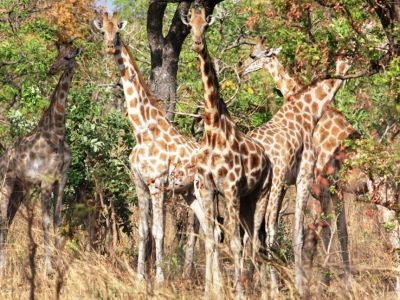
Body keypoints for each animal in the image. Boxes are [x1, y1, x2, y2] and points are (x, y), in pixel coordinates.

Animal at [0, 39, 80, 272]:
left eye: (69, 57)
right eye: (59, 55)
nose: (52, 69)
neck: (57, 131)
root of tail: (3, 157)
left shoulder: (61, 179)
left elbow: (57, 219)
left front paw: (58, 262)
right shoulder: (45, 181)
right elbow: (45, 221)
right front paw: (48, 267)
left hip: (20, 187)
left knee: (8, 217)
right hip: (7, 180)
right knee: (2, 216)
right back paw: (3, 263)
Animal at [93, 11, 206, 284]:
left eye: (118, 31)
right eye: (103, 31)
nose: (110, 46)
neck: (142, 131)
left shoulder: (157, 184)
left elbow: (159, 232)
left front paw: (160, 280)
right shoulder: (140, 184)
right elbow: (143, 231)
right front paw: (139, 278)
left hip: (206, 191)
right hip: (189, 192)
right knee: (208, 231)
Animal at [181, 5, 272, 294]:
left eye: (205, 25)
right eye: (190, 24)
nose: (197, 43)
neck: (212, 128)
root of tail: (268, 160)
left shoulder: (230, 188)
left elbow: (232, 243)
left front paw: (237, 292)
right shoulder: (208, 189)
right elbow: (211, 240)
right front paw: (212, 291)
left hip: (261, 194)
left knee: (254, 241)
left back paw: (259, 290)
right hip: (245, 201)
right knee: (251, 239)